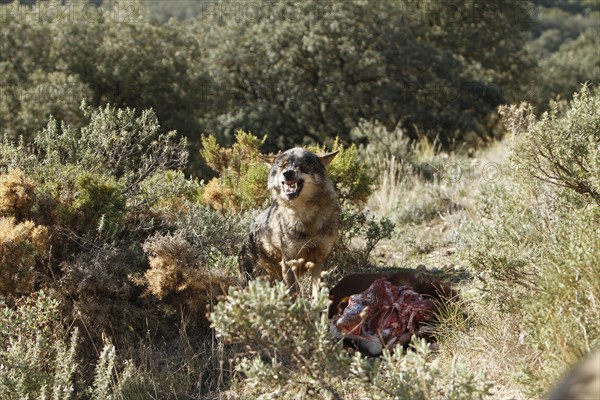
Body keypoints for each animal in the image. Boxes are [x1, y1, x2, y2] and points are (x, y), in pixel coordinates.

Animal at [240, 147, 342, 296]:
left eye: (302, 165)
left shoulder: (319, 261)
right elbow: (294, 293)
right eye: (282, 166)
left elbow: (318, 293)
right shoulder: (289, 262)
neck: (306, 217)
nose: (287, 173)